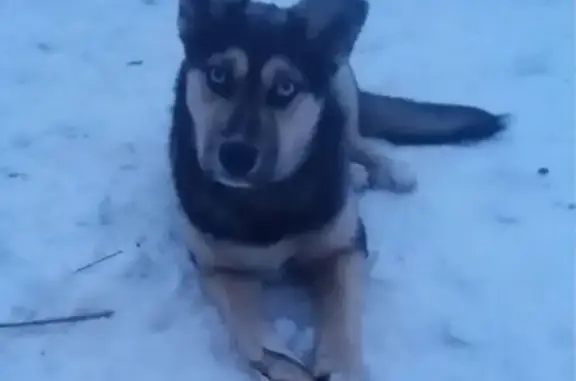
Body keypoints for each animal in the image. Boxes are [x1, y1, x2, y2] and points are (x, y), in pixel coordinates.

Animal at [168, 1, 508, 378]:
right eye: (218, 76)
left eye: (285, 88)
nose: (236, 156)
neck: (264, 198)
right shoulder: (218, 268)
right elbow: (251, 333)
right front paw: (282, 365)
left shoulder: (344, 249)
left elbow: (342, 320)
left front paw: (340, 366)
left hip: (340, 81)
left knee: (354, 138)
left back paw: (385, 169)